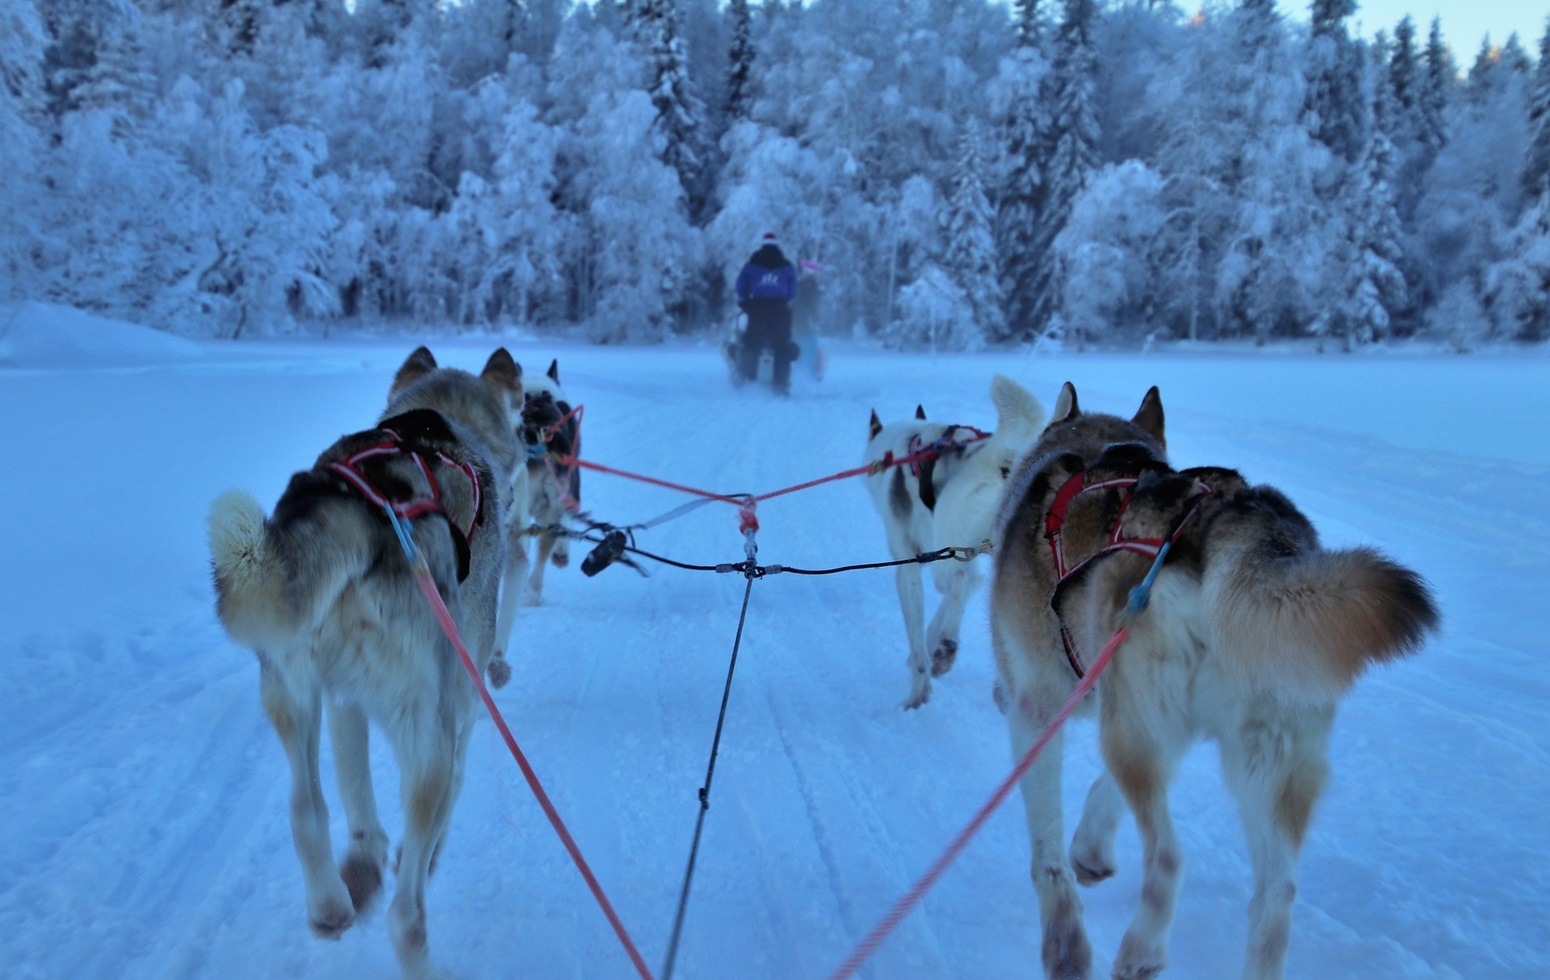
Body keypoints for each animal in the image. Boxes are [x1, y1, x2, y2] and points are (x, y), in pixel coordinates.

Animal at [206, 345, 523, 980]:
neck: (443, 423)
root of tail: (364, 508)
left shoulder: (341, 699)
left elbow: (354, 795)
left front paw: (365, 862)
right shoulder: (459, 710)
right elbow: (450, 796)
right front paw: (418, 858)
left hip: (291, 692)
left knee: (306, 809)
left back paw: (331, 904)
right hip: (425, 735)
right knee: (407, 917)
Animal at [868, 373, 1047, 703]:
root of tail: (1001, 458)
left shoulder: (911, 564)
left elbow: (919, 633)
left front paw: (918, 691)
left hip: (950, 545)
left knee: (961, 580)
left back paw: (946, 647)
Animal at [985, 381, 1432, 980]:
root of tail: (1222, 520)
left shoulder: (1040, 711)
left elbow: (1047, 854)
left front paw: (1065, 942)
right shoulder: (1143, 717)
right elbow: (1103, 794)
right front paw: (1091, 848)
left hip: (1135, 733)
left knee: (1169, 857)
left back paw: (1143, 949)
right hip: (1262, 762)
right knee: (1277, 896)